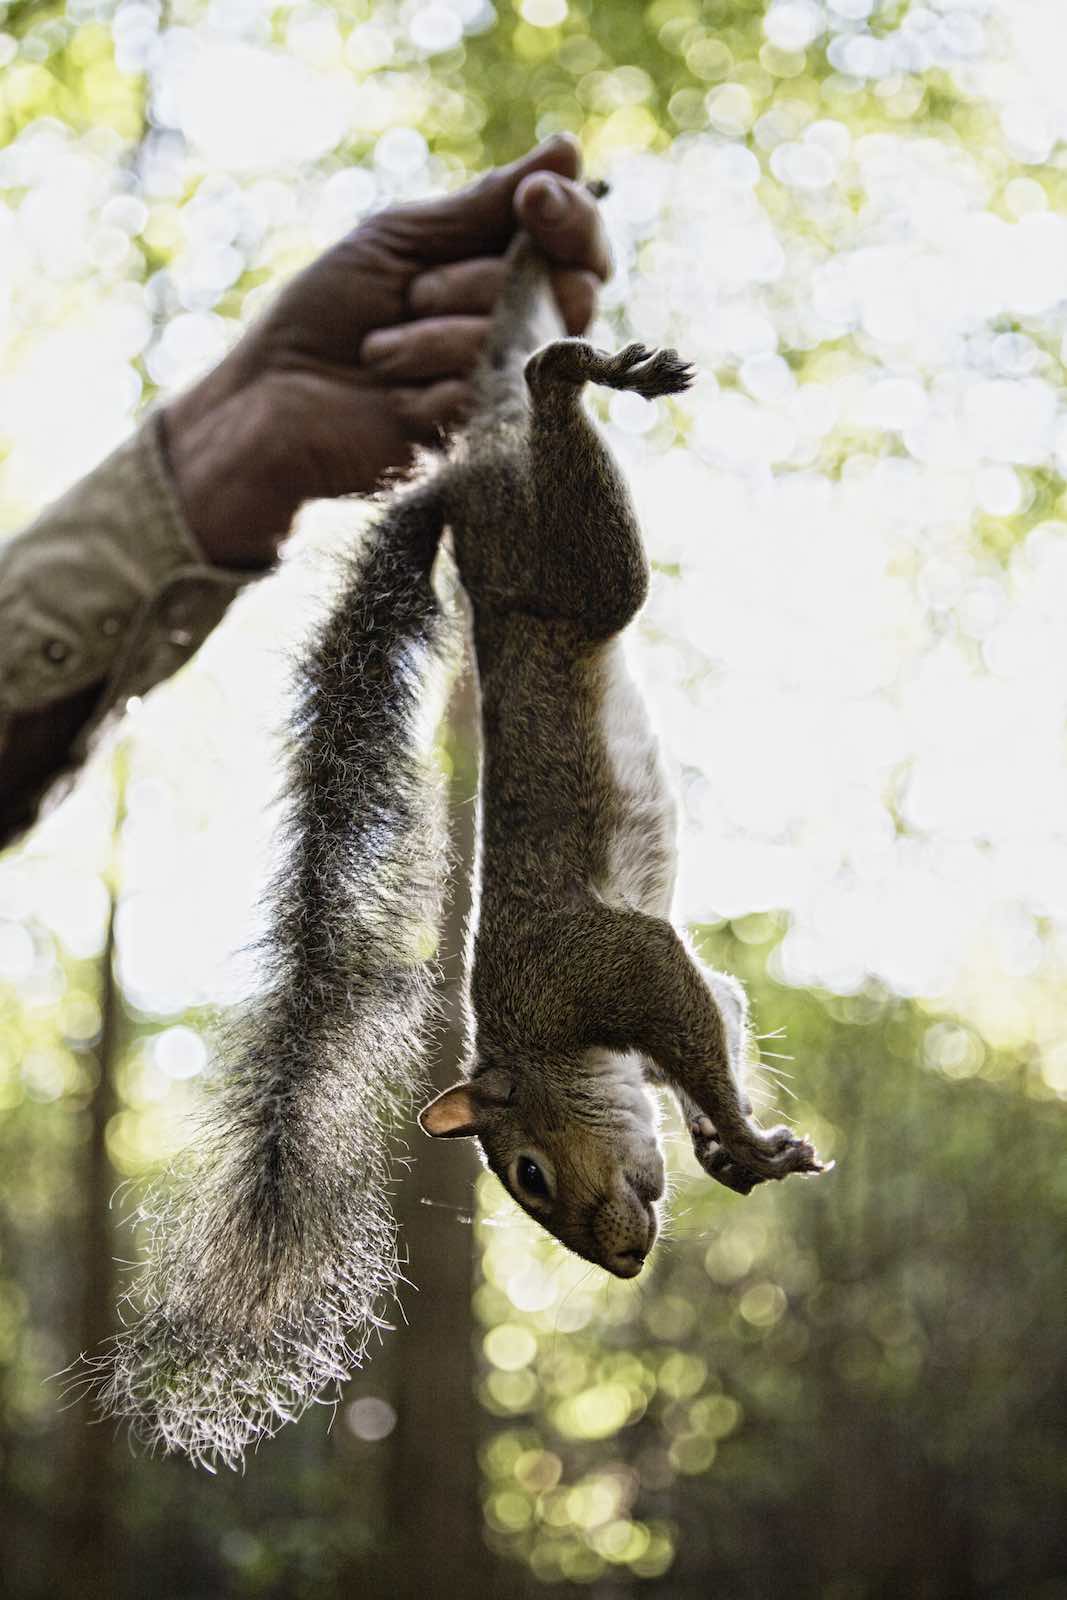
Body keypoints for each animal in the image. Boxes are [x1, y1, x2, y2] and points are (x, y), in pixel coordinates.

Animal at [89, 219, 825, 1465]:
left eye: (525, 1173)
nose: (617, 1259)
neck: (548, 1043)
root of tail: (462, 489)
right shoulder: (647, 974)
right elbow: (715, 1012)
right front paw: (730, 1149)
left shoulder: (600, 967)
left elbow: (691, 1017)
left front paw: (732, 1133)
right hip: (558, 556)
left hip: (565, 563)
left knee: (560, 441)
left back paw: (574, 370)